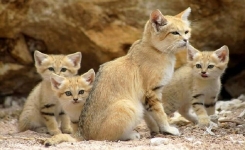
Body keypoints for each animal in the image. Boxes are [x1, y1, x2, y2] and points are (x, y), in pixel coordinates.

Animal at [77, 7, 192, 141]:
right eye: (175, 33)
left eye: (186, 31)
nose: (186, 40)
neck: (155, 50)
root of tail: (83, 135)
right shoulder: (151, 92)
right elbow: (160, 113)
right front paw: (167, 129)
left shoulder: (144, 97)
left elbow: (149, 116)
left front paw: (155, 130)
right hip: (128, 106)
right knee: (107, 138)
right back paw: (131, 135)